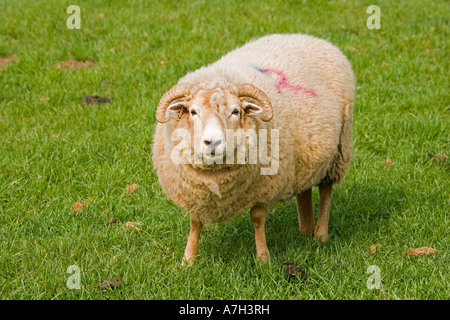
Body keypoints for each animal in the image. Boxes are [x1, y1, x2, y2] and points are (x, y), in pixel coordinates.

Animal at [152, 33, 356, 264]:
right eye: (193, 112)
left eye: (235, 111)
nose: (212, 142)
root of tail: (312, 38)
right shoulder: (196, 191)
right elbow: (195, 222)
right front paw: (188, 260)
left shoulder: (264, 185)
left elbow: (257, 219)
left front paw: (263, 258)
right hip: (307, 157)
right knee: (304, 189)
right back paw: (305, 230)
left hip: (338, 151)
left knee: (326, 190)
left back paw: (321, 234)